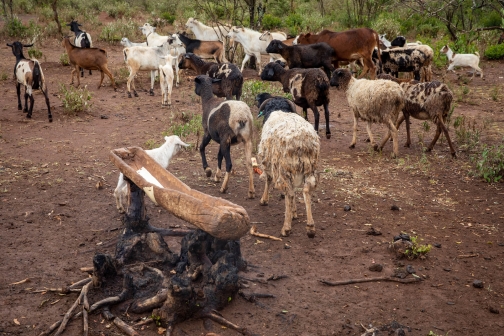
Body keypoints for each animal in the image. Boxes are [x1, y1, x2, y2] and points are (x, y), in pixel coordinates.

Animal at [258, 93, 320, 238]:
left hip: (284, 167)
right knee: (306, 190)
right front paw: (294, 212)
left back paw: (286, 228)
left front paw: (264, 200)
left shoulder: (268, 160)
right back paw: (310, 227)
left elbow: (268, 179)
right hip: (309, 167)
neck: (278, 108)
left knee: (289, 193)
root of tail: (301, 141)